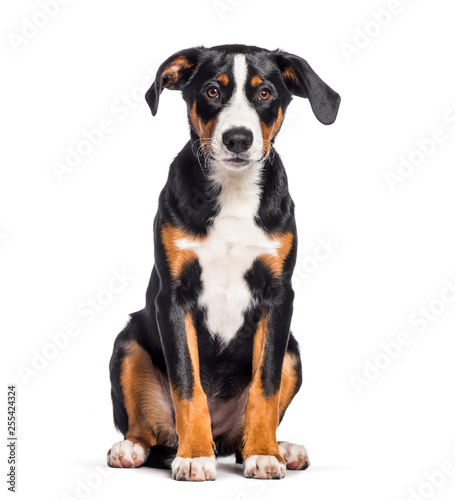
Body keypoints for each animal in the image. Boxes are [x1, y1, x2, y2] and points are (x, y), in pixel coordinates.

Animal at [108, 43, 342, 480]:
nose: (237, 138)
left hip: (293, 351)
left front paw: (265, 454)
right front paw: (195, 455)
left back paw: (280, 448)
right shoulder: (174, 297)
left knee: (243, 435)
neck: (233, 192)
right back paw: (132, 448)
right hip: (128, 343)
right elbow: (188, 385)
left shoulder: (278, 297)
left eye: (265, 93)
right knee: (145, 429)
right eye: (212, 91)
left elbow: (265, 387)